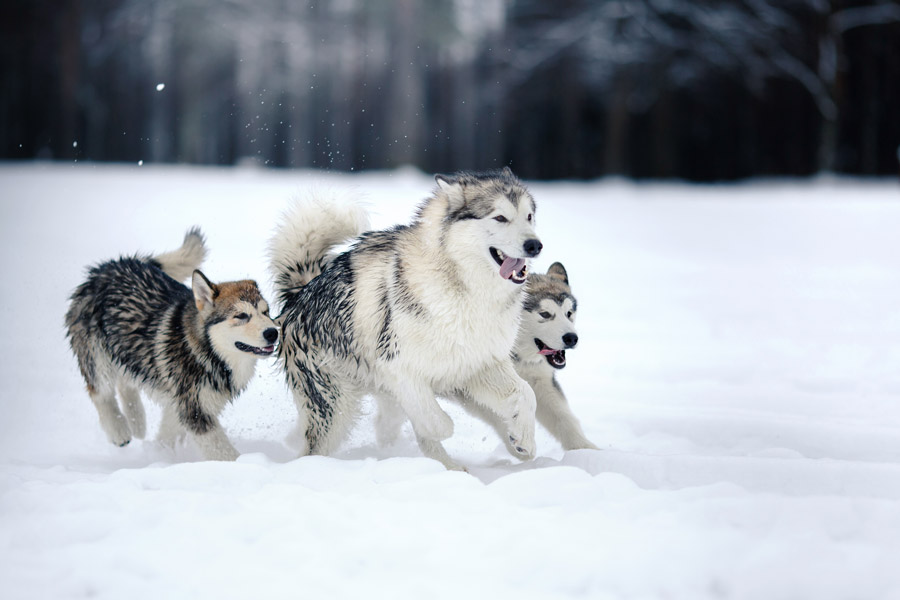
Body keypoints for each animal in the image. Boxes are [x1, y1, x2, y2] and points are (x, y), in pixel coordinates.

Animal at [65, 229, 278, 460]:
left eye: (266, 312)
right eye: (241, 316)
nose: (273, 333)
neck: (204, 351)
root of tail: (107, 268)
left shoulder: (183, 403)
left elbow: (167, 433)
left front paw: (161, 454)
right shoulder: (195, 410)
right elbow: (224, 453)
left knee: (125, 382)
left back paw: (137, 421)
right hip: (98, 358)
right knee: (99, 391)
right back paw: (119, 430)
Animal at [268, 168, 540, 468]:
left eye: (529, 216)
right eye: (500, 217)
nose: (535, 245)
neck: (466, 290)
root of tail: (299, 295)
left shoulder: (479, 364)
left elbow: (527, 393)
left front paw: (523, 439)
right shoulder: (399, 368)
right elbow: (436, 423)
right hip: (336, 409)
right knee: (312, 449)